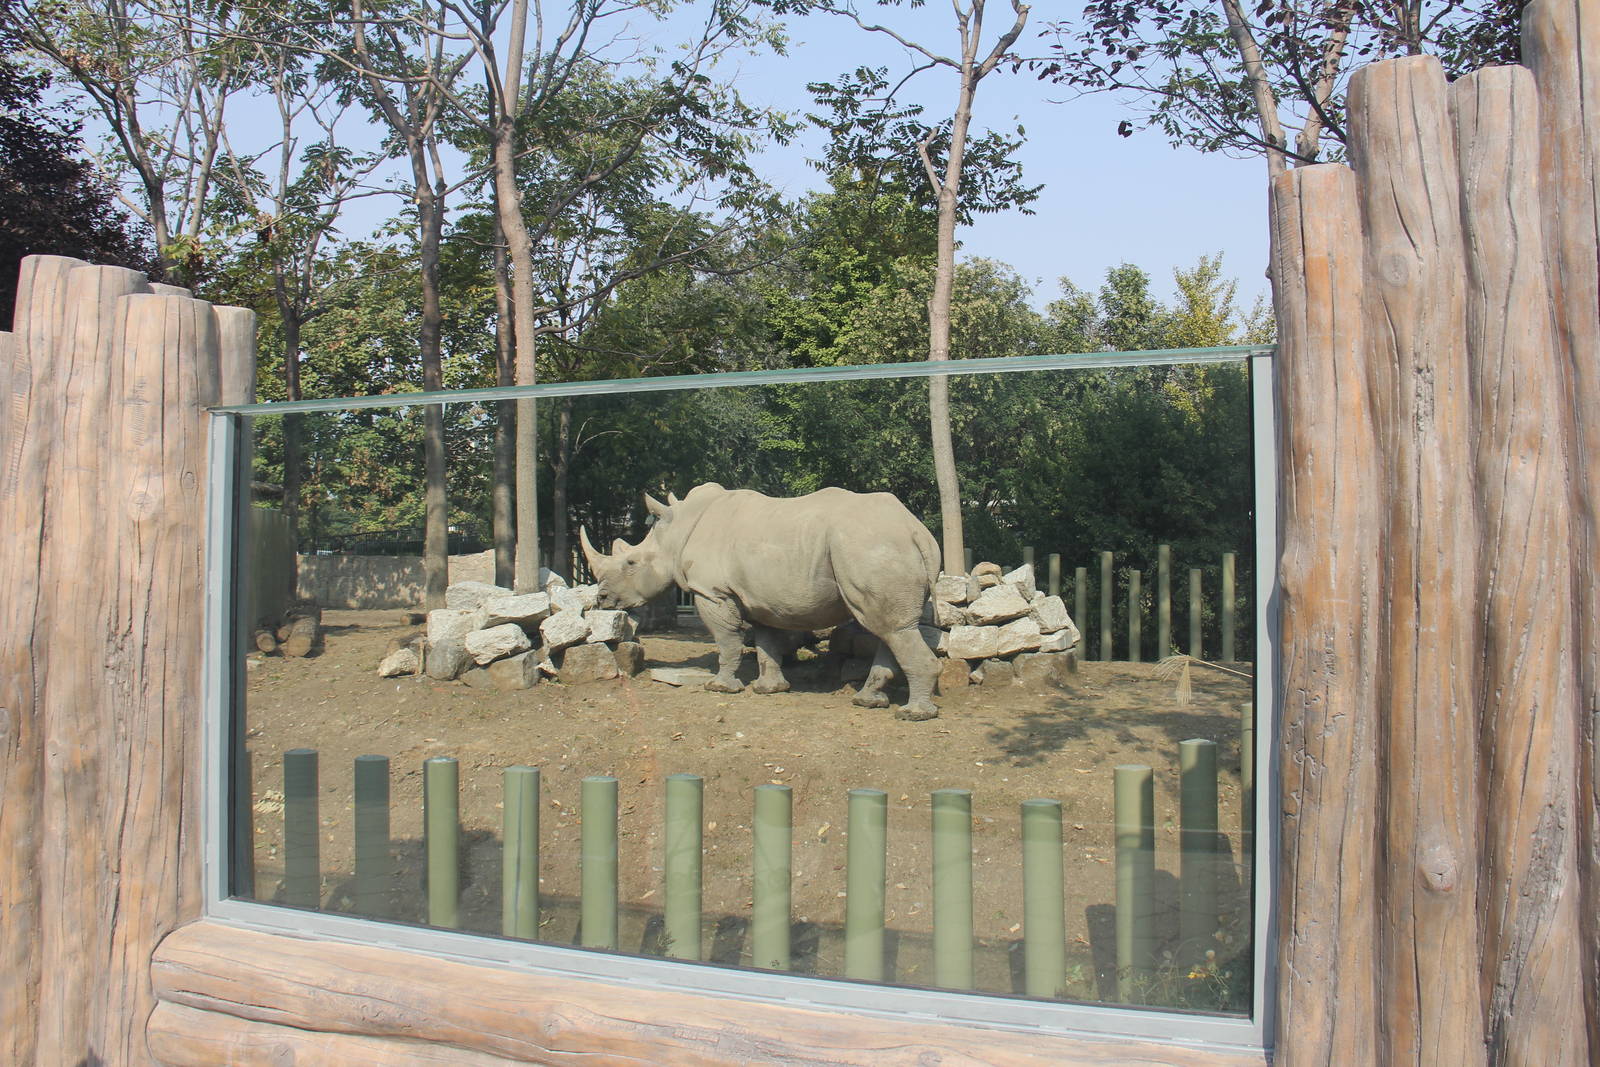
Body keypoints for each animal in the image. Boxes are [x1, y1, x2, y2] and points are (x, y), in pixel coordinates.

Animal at [581, 482, 941, 720]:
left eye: (631, 563)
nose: (602, 598)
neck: (677, 533)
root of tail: (916, 530)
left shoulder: (711, 591)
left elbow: (727, 640)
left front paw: (720, 688)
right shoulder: (758, 597)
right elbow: (767, 642)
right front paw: (769, 689)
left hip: (870, 547)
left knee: (889, 627)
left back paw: (913, 715)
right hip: (879, 547)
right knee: (892, 629)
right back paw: (869, 702)